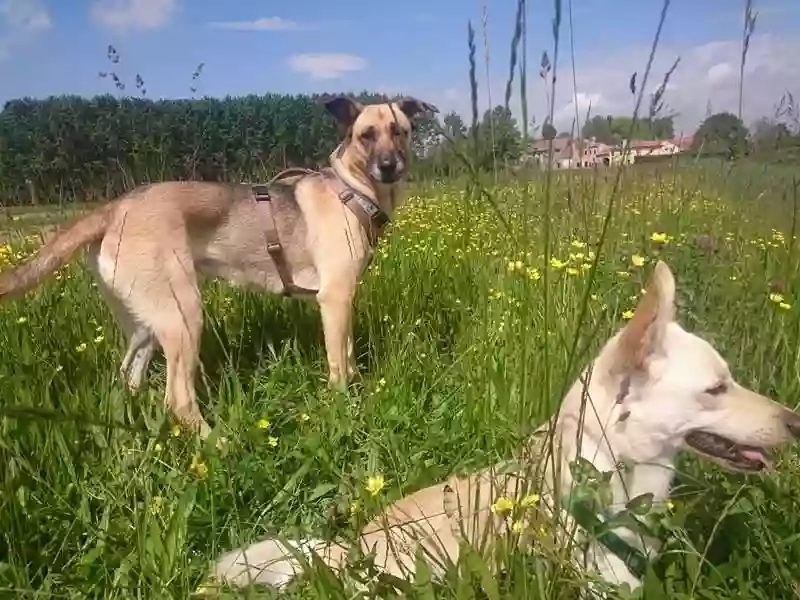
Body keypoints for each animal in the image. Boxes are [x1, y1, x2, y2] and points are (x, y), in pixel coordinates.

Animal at [0, 96, 438, 438]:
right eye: (367, 135)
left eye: (400, 131)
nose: (390, 165)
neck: (352, 190)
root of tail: (115, 208)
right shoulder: (335, 298)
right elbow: (338, 365)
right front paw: (344, 407)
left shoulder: (342, 302)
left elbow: (347, 355)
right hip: (184, 315)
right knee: (178, 398)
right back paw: (220, 445)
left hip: (144, 324)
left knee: (129, 377)